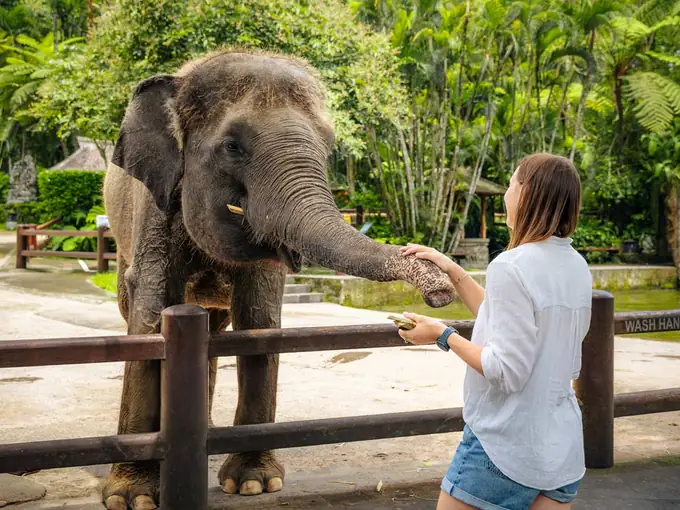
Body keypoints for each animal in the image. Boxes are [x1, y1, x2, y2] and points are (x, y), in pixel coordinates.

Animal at [101, 49, 455, 510]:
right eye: (232, 146)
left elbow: (259, 320)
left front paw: (253, 484)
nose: (441, 293)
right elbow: (150, 315)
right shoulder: (155, 209)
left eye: (328, 144)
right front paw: (134, 497)